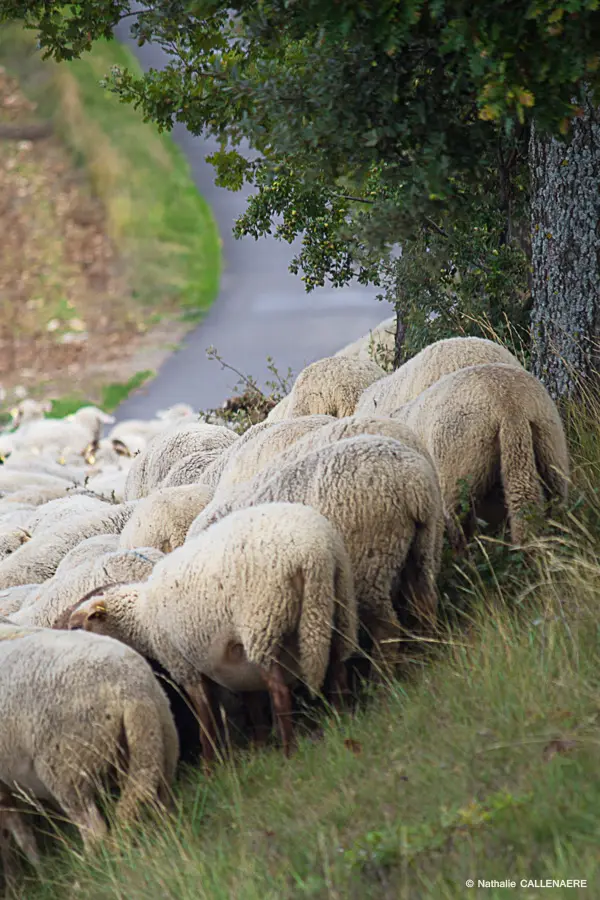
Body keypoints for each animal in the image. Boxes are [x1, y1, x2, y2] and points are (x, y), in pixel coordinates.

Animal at [67, 502, 356, 756]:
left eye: (76, 626)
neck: (142, 617)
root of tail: (313, 552)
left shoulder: (183, 665)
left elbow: (204, 720)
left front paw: (211, 764)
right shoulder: (223, 664)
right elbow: (238, 707)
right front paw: (255, 748)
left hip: (262, 623)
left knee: (281, 692)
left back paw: (290, 752)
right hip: (337, 602)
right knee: (338, 668)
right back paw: (342, 721)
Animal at [190, 436, 442, 668]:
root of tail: (413, 480)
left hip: (369, 563)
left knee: (386, 627)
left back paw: (383, 677)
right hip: (421, 546)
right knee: (425, 599)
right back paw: (430, 651)